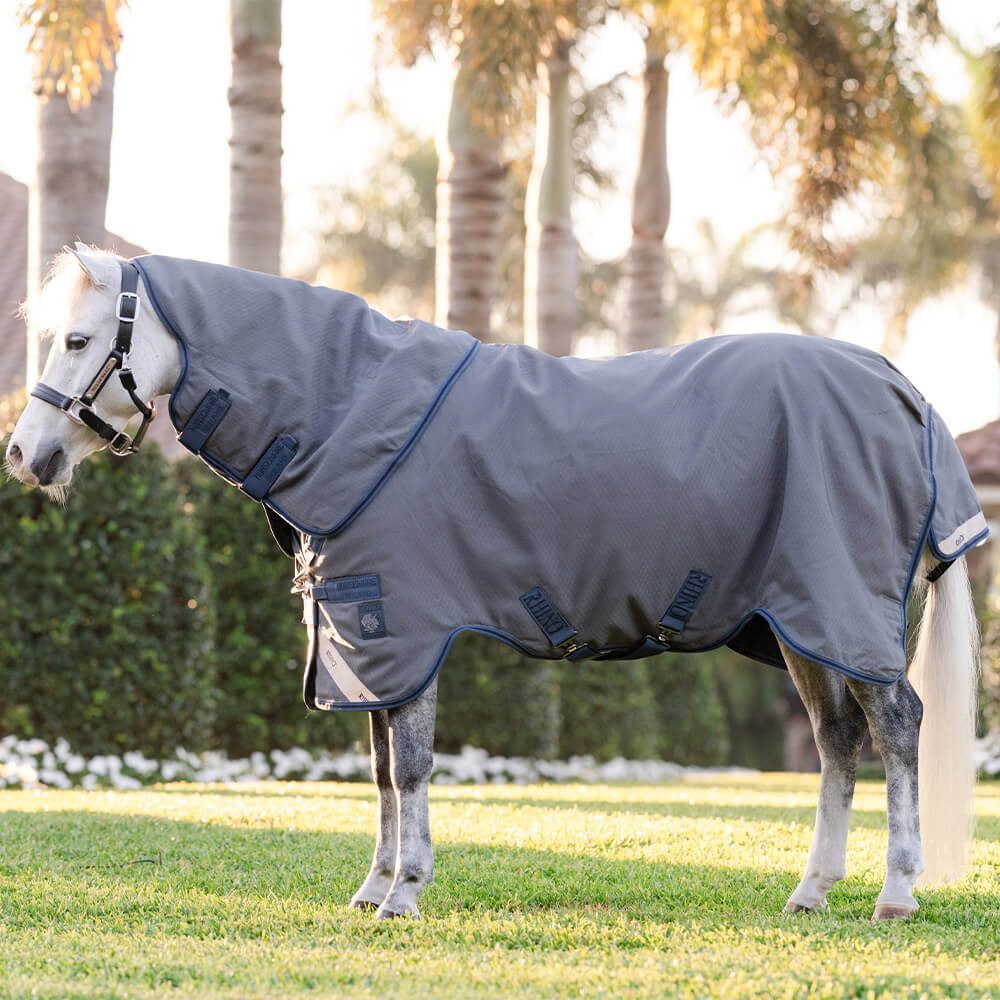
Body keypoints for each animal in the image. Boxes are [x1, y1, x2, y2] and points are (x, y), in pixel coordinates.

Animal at [6, 244, 984, 922]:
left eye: (80, 340)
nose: (24, 454)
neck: (347, 415)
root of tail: (901, 387)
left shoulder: (401, 627)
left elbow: (408, 767)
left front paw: (404, 894)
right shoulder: (367, 642)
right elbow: (381, 772)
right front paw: (373, 890)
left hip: (842, 608)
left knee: (897, 728)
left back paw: (897, 893)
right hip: (799, 622)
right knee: (836, 742)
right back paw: (811, 892)